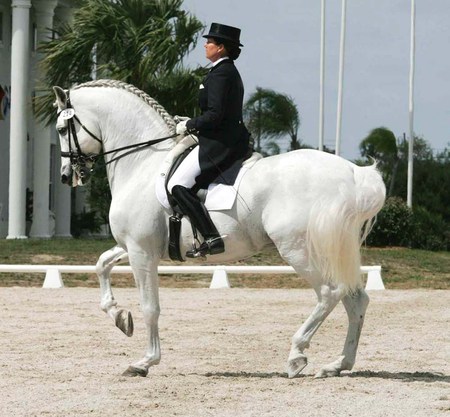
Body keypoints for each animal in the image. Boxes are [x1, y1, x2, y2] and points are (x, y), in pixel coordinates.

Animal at [51, 79, 384, 376]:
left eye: (61, 129)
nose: (67, 176)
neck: (142, 164)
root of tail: (352, 174)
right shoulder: (133, 246)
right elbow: (101, 264)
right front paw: (120, 317)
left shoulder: (141, 250)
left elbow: (150, 306)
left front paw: (145, 361)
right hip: (331, 249)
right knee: (355, 300)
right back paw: (338, 365)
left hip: (298, 249)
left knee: (330, 292)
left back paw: (296, 355)